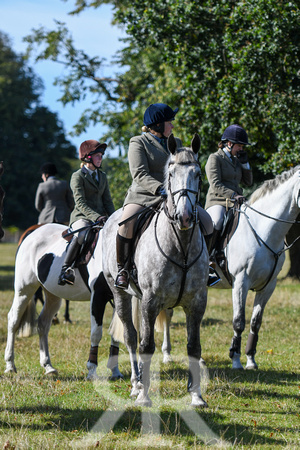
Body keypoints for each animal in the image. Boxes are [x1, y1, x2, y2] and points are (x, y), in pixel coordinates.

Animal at [4, 221, 123, 380]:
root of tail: (34, 230)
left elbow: (117, 333)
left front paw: (116, 371)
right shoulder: (98, 296)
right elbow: (96, 333)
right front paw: (92, 372)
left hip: (53, 295)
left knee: (43, 323)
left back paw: (48, 366)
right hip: (24, 290)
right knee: (14, 320)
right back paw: (10, 365)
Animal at [103, 134, 209, 408]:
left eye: (197, 174)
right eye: (171, 174)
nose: (184, 217)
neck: (181, 245)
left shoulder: (196, 302)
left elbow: (193, 347)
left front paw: (196, 395)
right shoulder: (150, 301)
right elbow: (146, 345)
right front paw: (143, 395)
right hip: (120, 292)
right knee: (131, 337)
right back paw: (136, 384)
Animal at [157, 165, 300, 370]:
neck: (262, 230)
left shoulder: (268, 286)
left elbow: (255, 323)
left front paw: (251, 360)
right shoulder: (241, 282)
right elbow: (239, 322)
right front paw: (236, 359)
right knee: (168, 314)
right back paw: (166, 355)